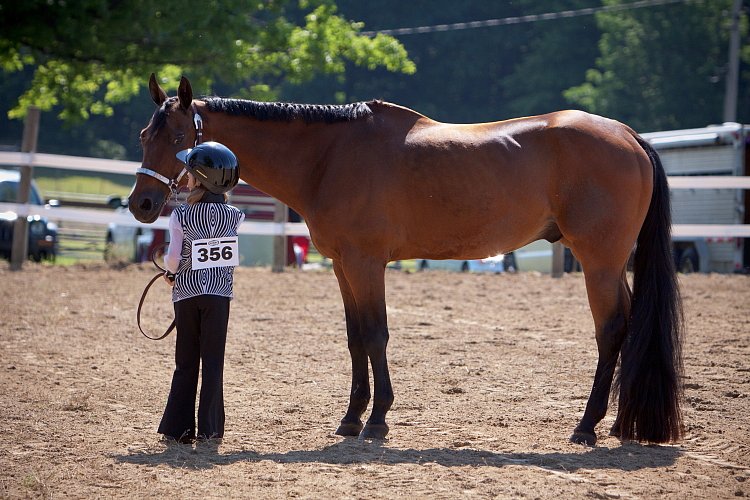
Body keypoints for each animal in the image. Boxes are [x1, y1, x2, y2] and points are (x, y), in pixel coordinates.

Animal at [132, 74, 684, 446]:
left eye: (179, 140)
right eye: (143, 136)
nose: (142, 204)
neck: (328, 155)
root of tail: (628, 135)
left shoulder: (366, 264)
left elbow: (376, 334)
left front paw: (377, 421)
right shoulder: (343, 266)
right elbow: (356, 337)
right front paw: (351, 418)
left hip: (599, 261)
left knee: (612, 330)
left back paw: (586, 427)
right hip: (610, 264)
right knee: (627, 325)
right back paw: (617, 423)